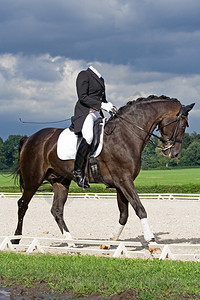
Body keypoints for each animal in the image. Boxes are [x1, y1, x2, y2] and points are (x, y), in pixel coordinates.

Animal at [12, 95, 194, 246]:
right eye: (182, 125)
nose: (173, 153)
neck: (125, 134)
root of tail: (29, 138)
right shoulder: (124, 180)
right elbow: (140, 208)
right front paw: (152, 242)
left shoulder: (122, 183)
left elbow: (124, 214)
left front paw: (110, 241)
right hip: (33, 179)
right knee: (22, 204)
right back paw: (15, 239)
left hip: (60, 181)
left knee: (57, 210)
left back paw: (71, 242)